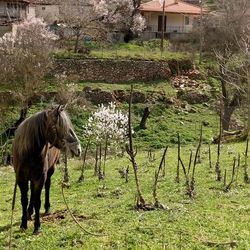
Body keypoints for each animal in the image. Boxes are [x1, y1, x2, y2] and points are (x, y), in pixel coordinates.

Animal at [12, 104, 81, 233]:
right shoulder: (21, 179)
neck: (30, 152)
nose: (78, 149)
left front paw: (37, 226)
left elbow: (37, 201)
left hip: (50, 171)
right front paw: (23, 224)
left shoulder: (40, 177)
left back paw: (46, 208)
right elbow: (24, 200)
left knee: (47, 186)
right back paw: (29, 212)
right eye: (59, 126)